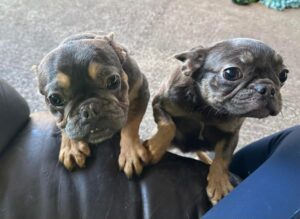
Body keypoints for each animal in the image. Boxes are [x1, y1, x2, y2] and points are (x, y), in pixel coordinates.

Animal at [35, 32, 150, 176]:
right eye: (54, 99)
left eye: (113, 80)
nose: (89, 109)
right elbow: (64, 127)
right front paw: (71, 147)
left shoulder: (140, 90)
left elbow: (131, 124)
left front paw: (131, 153)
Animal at [144, 38, 290, 204]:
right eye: (231, 73)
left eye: (283, 75)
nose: (268, 88)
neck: (206, 108)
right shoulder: (160, 103)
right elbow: (168, 126)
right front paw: (154, 148)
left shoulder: (231, 134)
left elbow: (222, 158)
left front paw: (219, 184)